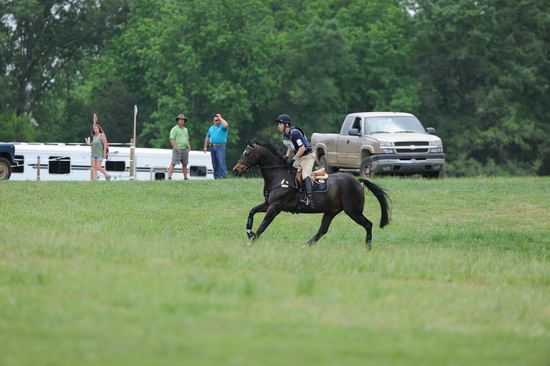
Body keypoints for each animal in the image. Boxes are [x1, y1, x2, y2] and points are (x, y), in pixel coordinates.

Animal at [233, 140, 392, 249]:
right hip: (331, 211)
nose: (235, 170)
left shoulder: (275, 207)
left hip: (353, 211)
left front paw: (251, 241)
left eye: (247, 154)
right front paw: (249, 232)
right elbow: (251, 212)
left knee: (368, 224)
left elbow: (263, 225)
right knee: (323, 230)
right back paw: (307, 244)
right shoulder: (268, 204)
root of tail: (357, 181)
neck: (279, 176)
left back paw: (368, 247)